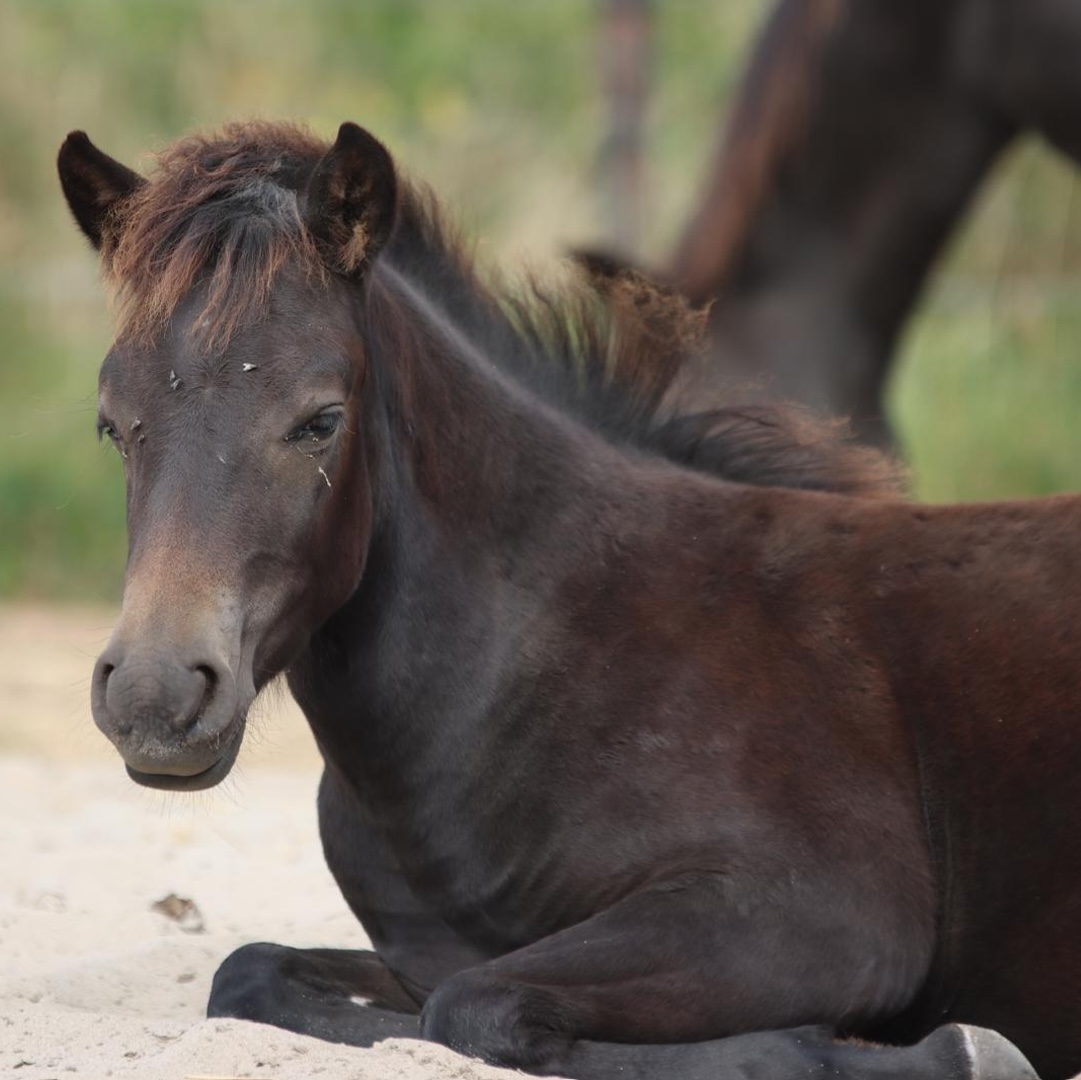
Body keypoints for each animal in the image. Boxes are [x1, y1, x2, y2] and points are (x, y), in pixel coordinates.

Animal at [56, 120, 1079, 1079]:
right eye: (111, 424)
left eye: (320, 420)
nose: (154, 699)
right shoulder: (428, 952)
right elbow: (256, 974)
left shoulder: (819, 911)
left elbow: (474, 1008)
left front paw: (947, 1049)